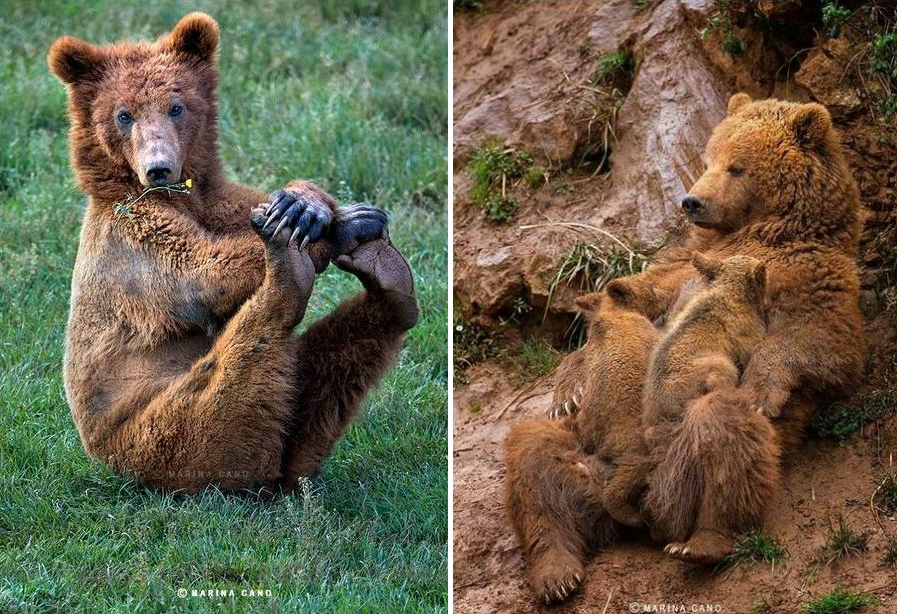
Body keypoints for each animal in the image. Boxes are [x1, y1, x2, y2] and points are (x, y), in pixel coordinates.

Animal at [51, 13, 420, 496]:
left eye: (176, 106)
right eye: (123, 115)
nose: (159, 168)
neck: (181, 199)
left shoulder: (219, 202)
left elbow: (257, 205)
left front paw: (307, 207)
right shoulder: (133, 244)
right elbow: (204, 271)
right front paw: (340, 225)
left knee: (321, 375)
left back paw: (386, 275)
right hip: (158, 436)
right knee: (236, 384)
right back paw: (291, 266)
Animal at [504, 94, 860, 604]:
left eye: (737, 166)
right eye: (707, 159)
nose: (691, 200)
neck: (763, 230)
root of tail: (632, 505)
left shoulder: (814, 276)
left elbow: (824, 342)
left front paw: (764, 387)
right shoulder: (679, 267)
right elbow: (636, 298)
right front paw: (567, 391)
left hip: (678, 476)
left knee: (723, 430)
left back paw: (704, 541)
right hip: (582, 459)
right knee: (534, 461)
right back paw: (555, 571)